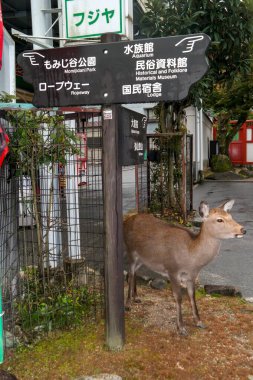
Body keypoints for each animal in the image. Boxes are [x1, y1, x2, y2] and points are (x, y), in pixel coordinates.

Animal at [123, 200, 246, 334]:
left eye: (230, 216)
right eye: (219, 220)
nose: (243, 229)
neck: (191, 258)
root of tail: (127, 220)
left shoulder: (192, 275)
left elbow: (192, 296)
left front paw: (199, 322)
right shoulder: (172, 270)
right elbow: (178, 298)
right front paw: (181, 328)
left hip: (142, 258)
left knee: (134, 272)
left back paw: (136, 297)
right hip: (130, 251)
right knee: (130, 273)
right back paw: (128, 304)